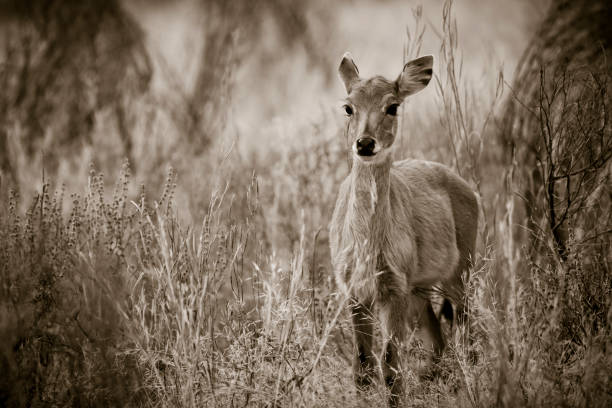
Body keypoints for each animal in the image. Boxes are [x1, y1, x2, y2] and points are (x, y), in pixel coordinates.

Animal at [330, 52, 478, 406]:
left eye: (393, 106)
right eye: (348, 106)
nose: (364, 143)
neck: (367, 244)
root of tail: (470, 190)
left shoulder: (393, 288)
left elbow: (390, 363)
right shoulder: (355, 290)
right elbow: (363, 363)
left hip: (460, 272)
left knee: (466, 333)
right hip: (420, 289)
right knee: (438, 339)